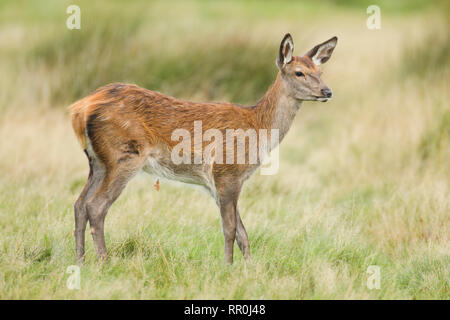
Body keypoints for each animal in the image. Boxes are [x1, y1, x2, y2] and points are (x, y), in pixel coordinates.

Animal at [70, 33, 336, 264]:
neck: (258, 126)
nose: (327, 91)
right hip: (124, 156)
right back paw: (104, 262)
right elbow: (230, 229)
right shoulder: (227, 172)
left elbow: (243, 233)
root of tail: (80, 109)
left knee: (80, 204)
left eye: (320, 71)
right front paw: (228, 267)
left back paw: (81, 261)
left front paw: (251, 269)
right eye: (299, 72)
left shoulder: (217, 183)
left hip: (98, 162)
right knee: (96, 206)